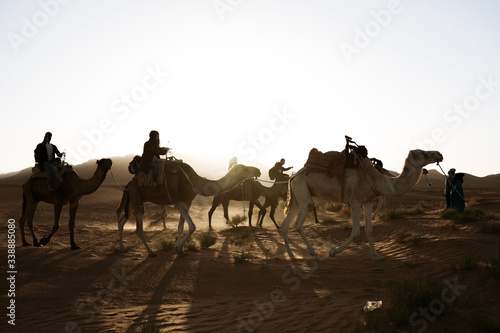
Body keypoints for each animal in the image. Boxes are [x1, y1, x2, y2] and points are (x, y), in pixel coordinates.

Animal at [115, 162, 260, 255]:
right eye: (244, 168)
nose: (257, 170)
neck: (194, 182)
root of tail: (129, 183)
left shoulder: (187, 203)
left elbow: (181, 226)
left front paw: (180, 250)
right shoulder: (178, 203)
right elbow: (192, 226)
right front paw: (178, 247)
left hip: (132, 200)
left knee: (122, 221)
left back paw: (122, 248)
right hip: (137, 200)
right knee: (138, 229)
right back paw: (150, 252)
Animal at [284, 149, 444, 260]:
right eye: (424, 154)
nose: (440, 154)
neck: (377, 179)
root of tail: (293, 177)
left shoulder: (368, 201)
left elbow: (369, 229)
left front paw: (376, 256)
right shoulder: (355, 202)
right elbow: (356, 231)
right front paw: (333, 251)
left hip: (298, 196)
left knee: (286, 222)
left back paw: (290, 253)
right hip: (303, 192)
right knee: (298, 221)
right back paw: (311, 251)